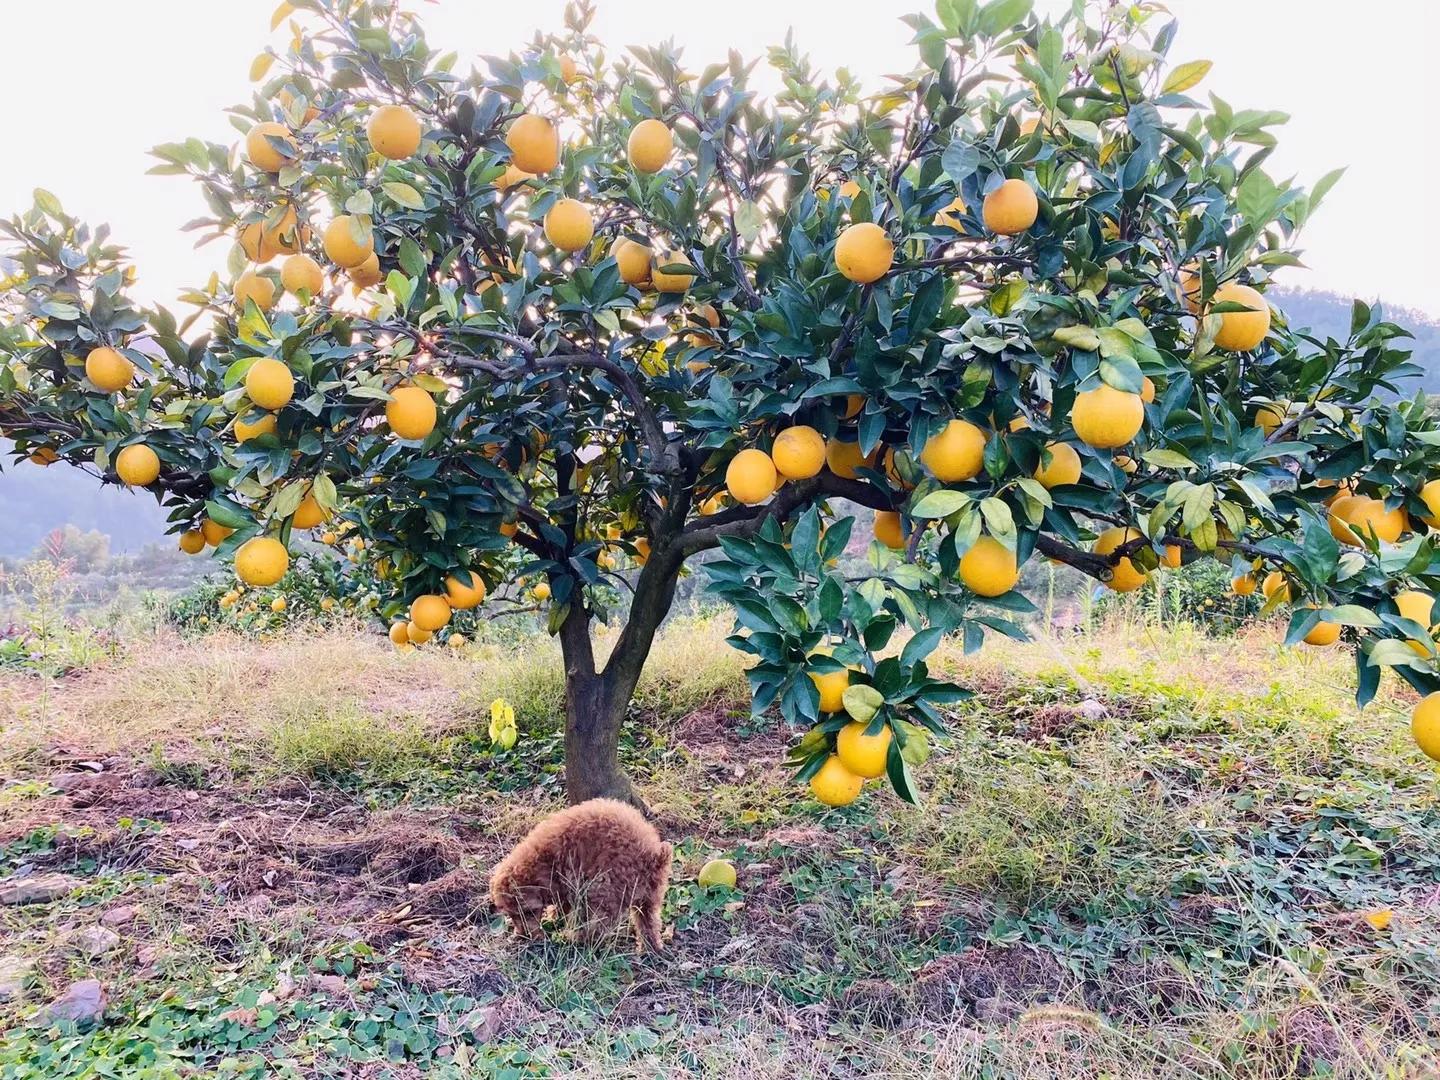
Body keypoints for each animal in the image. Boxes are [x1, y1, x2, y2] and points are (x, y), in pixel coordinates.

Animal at [489, 794, 673, 956]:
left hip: (603, 888)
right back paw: (650, 948)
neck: (542, 860)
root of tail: (653, 856)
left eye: (527, 912)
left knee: (598, 926)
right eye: (511, 915)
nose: (524, 935)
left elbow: (565, 905)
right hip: (651, 894)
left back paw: (576, 940)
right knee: (649, 921)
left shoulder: (568, 879)